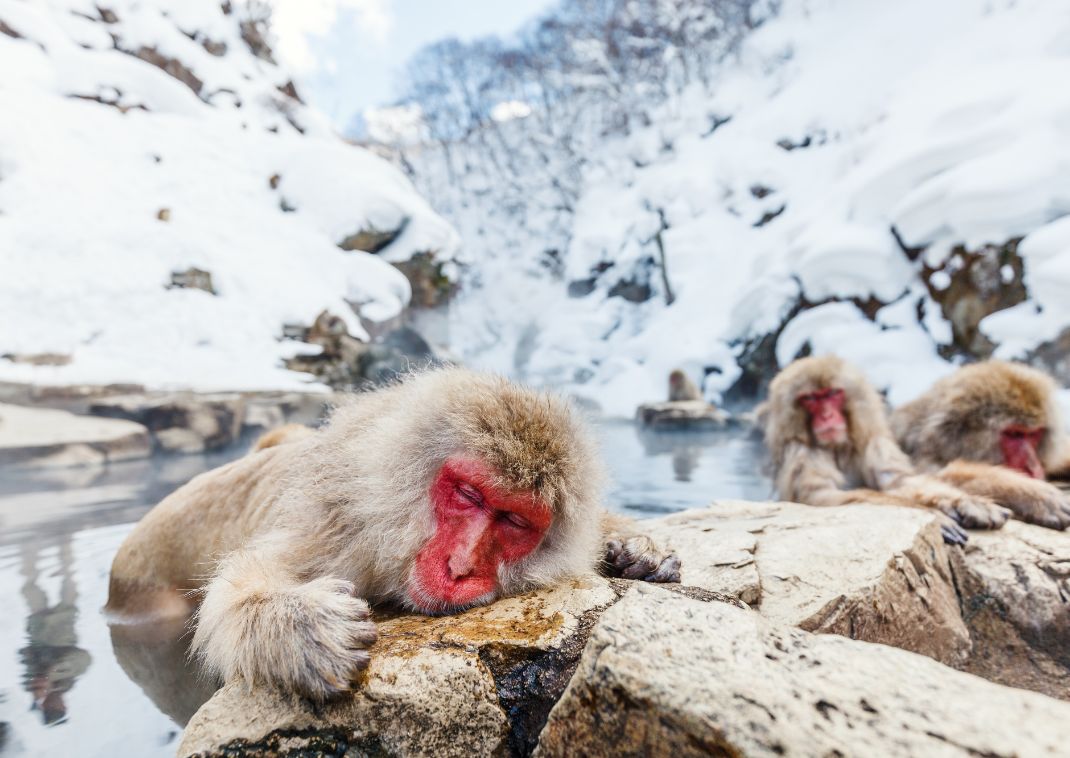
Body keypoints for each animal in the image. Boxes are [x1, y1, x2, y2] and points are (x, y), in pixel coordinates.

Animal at [106, 366, 676, 698]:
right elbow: (239, 587)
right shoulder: (339, 529)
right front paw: (299, 626)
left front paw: (637, 547)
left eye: (514, 520)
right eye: (469, 495)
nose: (461, 565)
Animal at [761, 355, 1010, 543]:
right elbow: (819, 496)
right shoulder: (801, 452)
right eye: (810, 398)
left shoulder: (874, 442)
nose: (827, 415)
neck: (837, 447)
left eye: (832, 394)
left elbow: (898, 481)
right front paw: (932, 515)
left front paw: (967, 503)